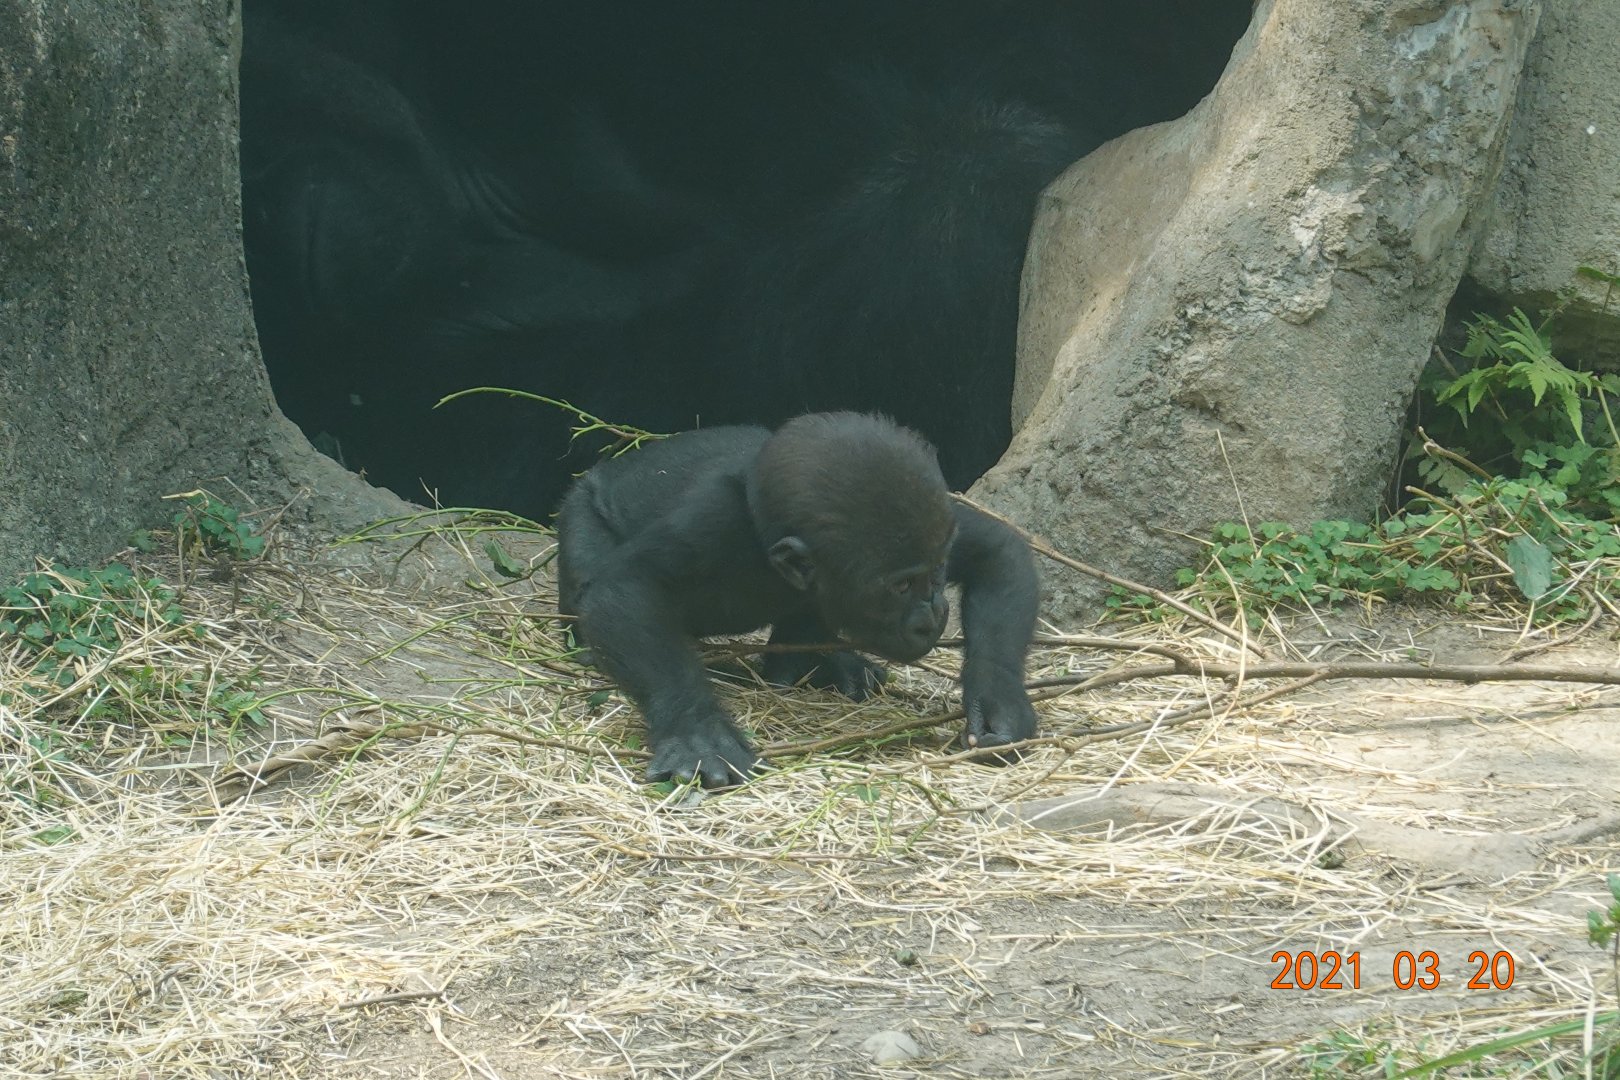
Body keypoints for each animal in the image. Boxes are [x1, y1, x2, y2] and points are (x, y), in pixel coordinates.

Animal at [556, 412, 1040, 787]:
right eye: (901, 588)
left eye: (937, 572)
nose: (933, 615)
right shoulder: (714, 521)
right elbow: (627, 588)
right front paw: (698, 733)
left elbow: (996, 550)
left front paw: (998, 706)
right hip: (580, 506)